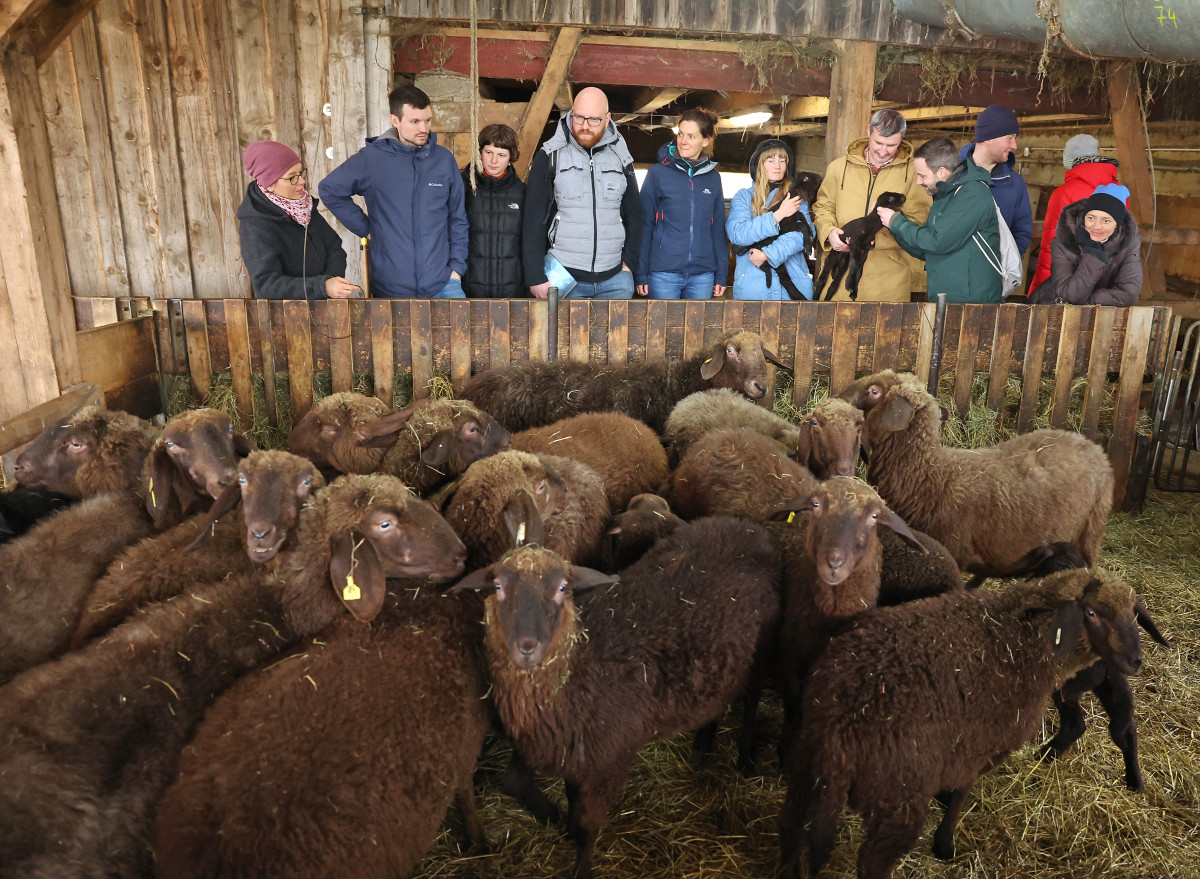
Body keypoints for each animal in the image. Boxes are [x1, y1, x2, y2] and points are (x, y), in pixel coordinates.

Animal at [448, 501, 777, 879]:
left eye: (562, 588)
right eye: (498, 586)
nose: (527, 646)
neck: (578, 673)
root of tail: (747, 526)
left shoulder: (611, 761)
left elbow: (588, 824)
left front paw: (580, 863)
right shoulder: (569, 754)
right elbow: (525, 784)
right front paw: (556, 818)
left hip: (763, 647)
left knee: (752, 701)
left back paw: (745, 756)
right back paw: (702, 743)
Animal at [782, 569, 1156, 879]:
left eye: (1131, 614)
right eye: (1092, 613)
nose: (1135, 661)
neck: (1023, 642)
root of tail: (840, 725)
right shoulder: (980, 742)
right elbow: (963, 790)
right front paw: (945, 841)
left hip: (804, 766)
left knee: (791, 834)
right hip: (898, 798)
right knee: (872, 863)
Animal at [840, 369, 1108, 576]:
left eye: (874, 391)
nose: (839, 397)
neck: (929, 473)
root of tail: (1092, 447)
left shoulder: (952, 552)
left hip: (1088, 537)